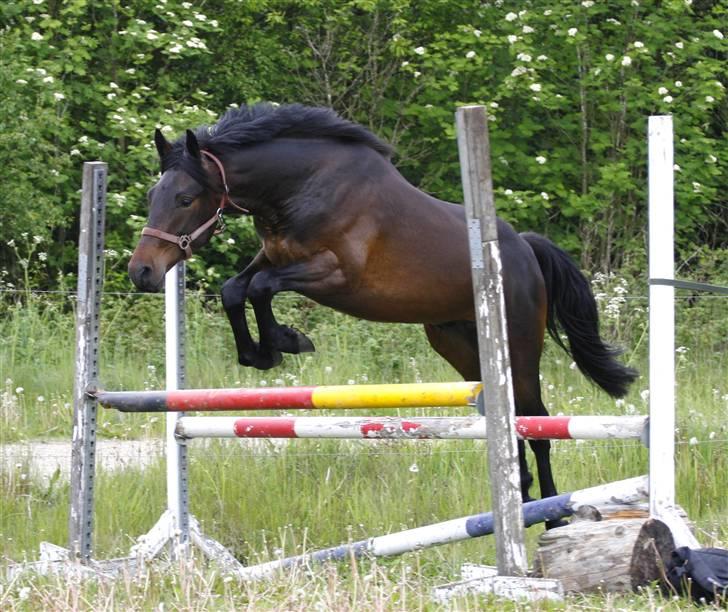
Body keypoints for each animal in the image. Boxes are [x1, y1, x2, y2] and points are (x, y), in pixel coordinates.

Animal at [128, 103, 636, 524]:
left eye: (185, 198)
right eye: (155, 194)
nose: (142, 272)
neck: (300, 186)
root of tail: (525, 250)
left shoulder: (334, 274)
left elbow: (260, 288)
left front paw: (284, 341)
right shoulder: (272, 257)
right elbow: (236, 289)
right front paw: (262, 353)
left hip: (519, 347)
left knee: (540, 425)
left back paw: (552, 514)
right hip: (461, 345)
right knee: (510, 421)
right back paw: (523, 499)